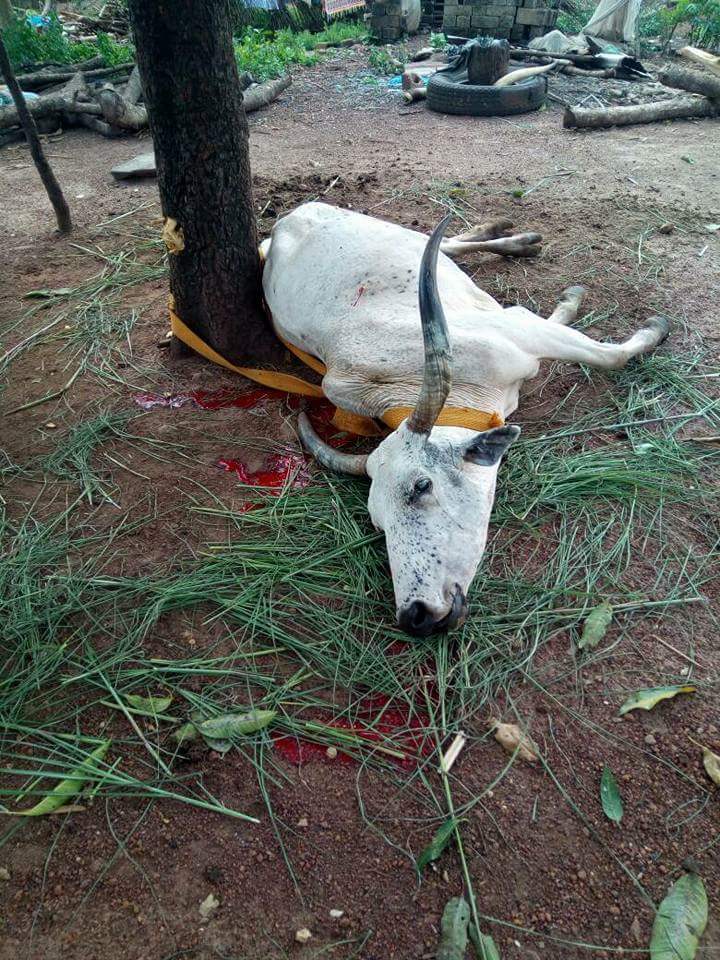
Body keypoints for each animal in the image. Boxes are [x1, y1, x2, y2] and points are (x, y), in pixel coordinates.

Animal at [262, 202, 672, 636]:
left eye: (421, 486)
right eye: (377, 522)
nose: (416, 615)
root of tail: (286, 223)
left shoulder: (520, 329)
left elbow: (612, 355)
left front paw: (647, 327)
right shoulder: (521, 331)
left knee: (443, 244)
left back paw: (515, 239)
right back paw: (515, 239)